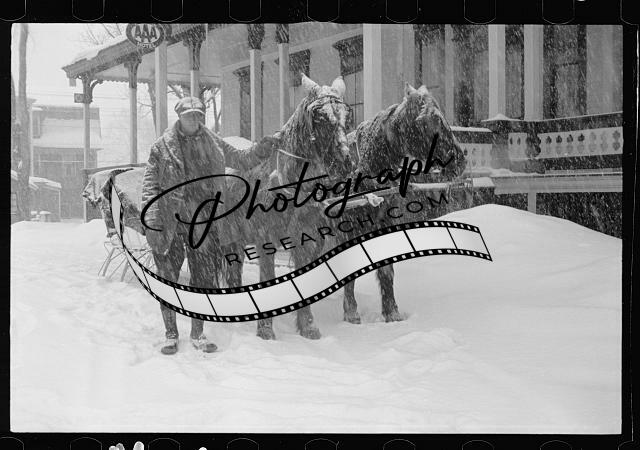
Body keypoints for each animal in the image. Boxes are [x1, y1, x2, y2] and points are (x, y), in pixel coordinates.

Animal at [225, 74, 353, 340]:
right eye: (320, 116)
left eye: (347, 116)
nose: (344, 163)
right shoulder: (265, 239)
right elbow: (267, 276)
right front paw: (265, 330)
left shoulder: (309, 238)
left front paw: (308, 326)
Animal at [341, 83, 467, 324]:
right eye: (427, 120)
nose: (460, 159)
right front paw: (351, 313)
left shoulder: (385, 223)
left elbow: (386, 270)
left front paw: (392, 313)